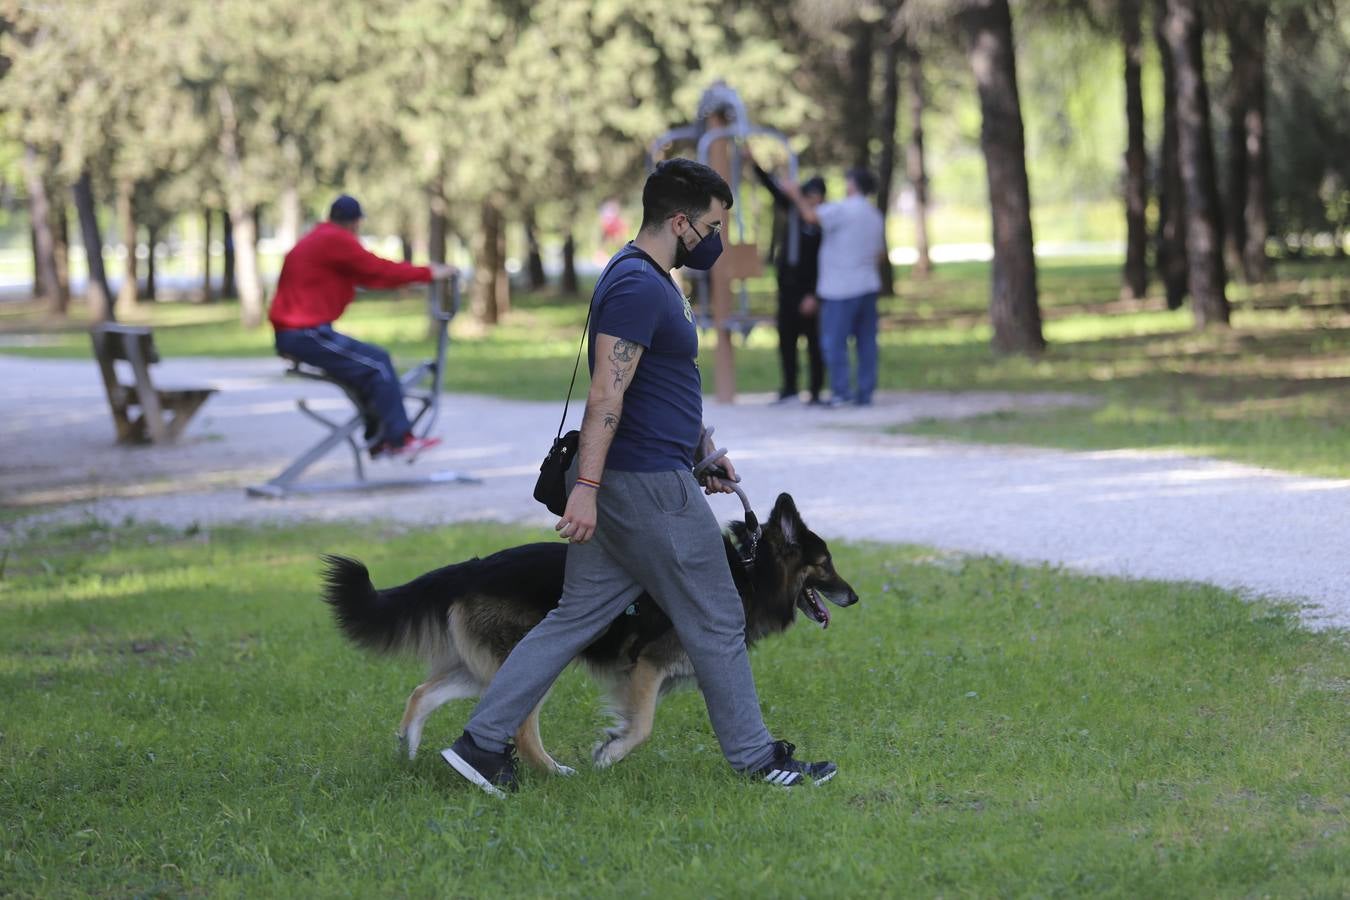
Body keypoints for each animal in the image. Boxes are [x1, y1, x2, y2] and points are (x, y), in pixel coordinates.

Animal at [321, 493, 858, 777]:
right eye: (826, 564)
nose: (855, 596)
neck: (748, 572)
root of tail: (470, 568)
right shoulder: (648, 665)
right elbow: (642, 726)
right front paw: (610, 753)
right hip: (536, 658)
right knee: (519, 725)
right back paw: (551, 772)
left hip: (484, 667)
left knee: (423, 692)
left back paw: (408, 749)